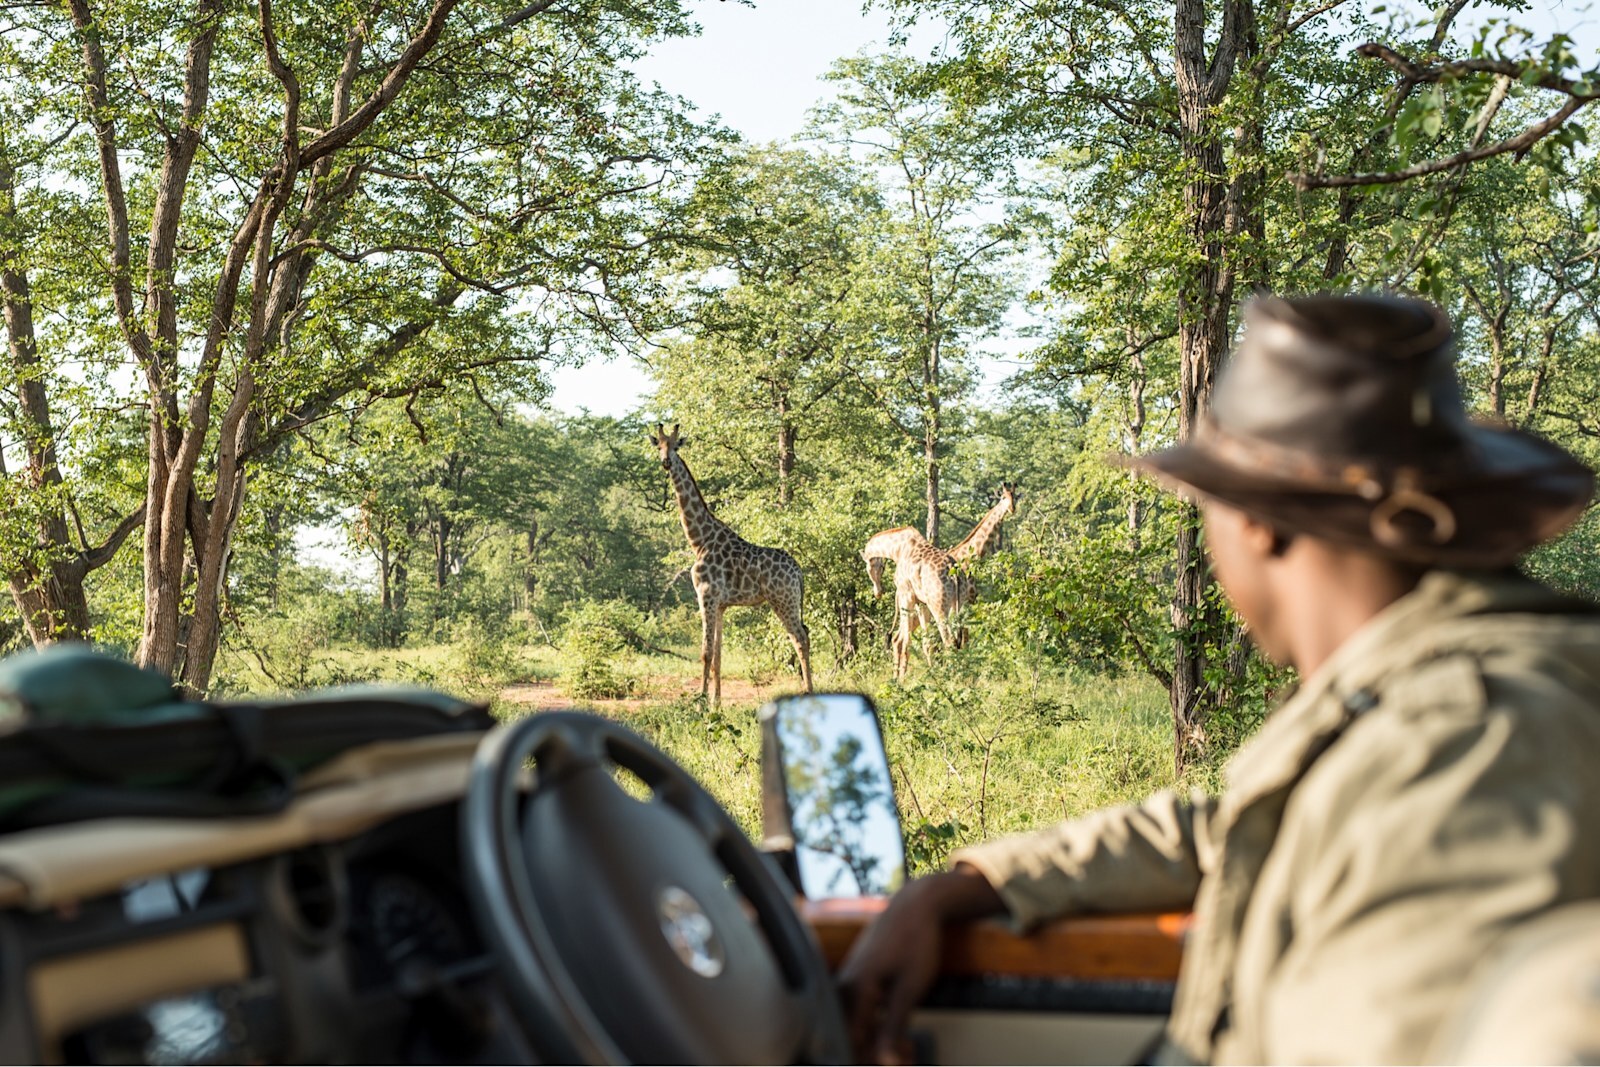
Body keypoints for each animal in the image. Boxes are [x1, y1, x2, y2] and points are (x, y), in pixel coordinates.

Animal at [651, 424, 813, 705]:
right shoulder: (721, 604)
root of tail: (799, 572)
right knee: (804, 634)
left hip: (783, 600)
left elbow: (705, 652)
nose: (666, 462)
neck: (699, 540)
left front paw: (700, 702)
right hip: (788, 601)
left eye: (675, 446)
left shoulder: (705, 596)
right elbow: (717, 655)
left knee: (800, 637)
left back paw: (811, 694)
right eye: (658, 445)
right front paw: (716, 703)